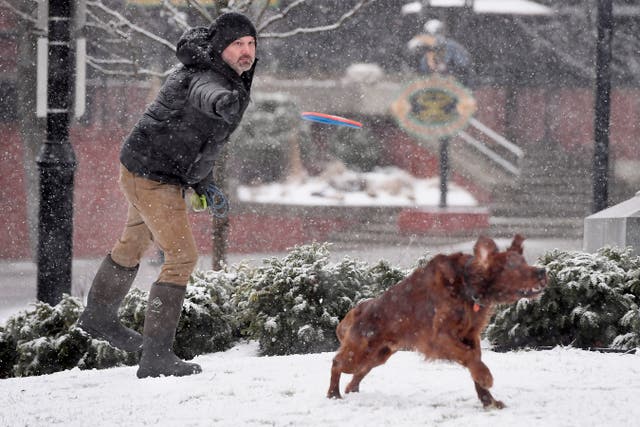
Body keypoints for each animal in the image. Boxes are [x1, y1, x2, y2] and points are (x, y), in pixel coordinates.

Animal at [330, 236, 544, 410]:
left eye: (525, 262)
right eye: (514, 266)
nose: (543, 272)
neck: (467, 286)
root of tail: (356, 310)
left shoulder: (470, 335)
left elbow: (475, 359)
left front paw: (488, 400)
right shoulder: (438, 337)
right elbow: (470, 357)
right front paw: (485, 377)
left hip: (377, 355)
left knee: (358, 372)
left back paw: (351, 390)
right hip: (359, 353)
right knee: (337, 362)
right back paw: (333, 395)